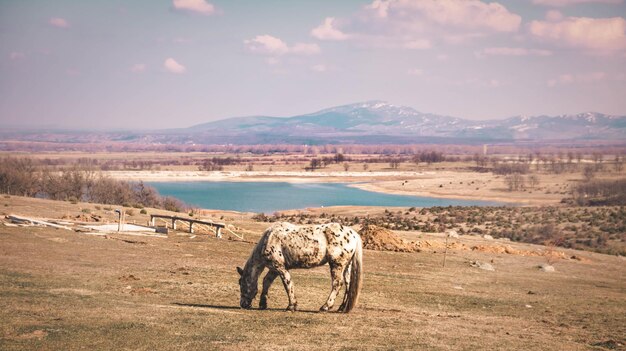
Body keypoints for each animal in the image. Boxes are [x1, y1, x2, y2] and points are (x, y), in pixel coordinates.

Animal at [235, 223, 364, 314]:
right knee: (348, 285)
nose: (243, 304)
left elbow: (288, 284)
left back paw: (325, 307)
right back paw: (341, 307)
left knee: (337, 284)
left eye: (241, 283)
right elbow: (266, 281)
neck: (269, 240)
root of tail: (353, 234)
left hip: (337, 265)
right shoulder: (274, 269)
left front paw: (291, 306)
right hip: (346, 266)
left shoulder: (280, 267)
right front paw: (263, 304)